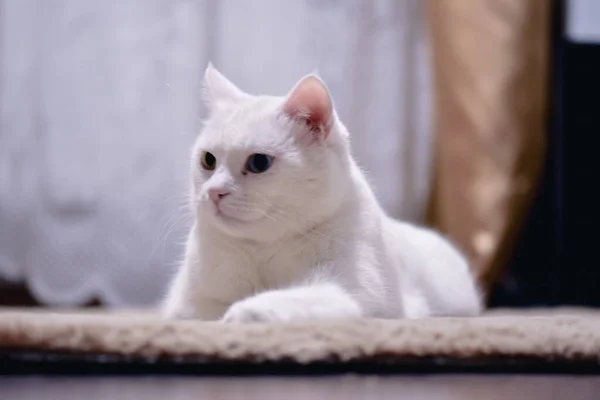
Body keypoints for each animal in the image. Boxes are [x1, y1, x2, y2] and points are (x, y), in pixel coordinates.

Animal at [161, 65, 482, 322]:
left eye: (259, 163)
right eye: (208, 160)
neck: (265, 248)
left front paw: (241, 313)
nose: (215, 192)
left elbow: (287, 300)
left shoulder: (354, 293)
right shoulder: (188, 302)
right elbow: (202, 309)